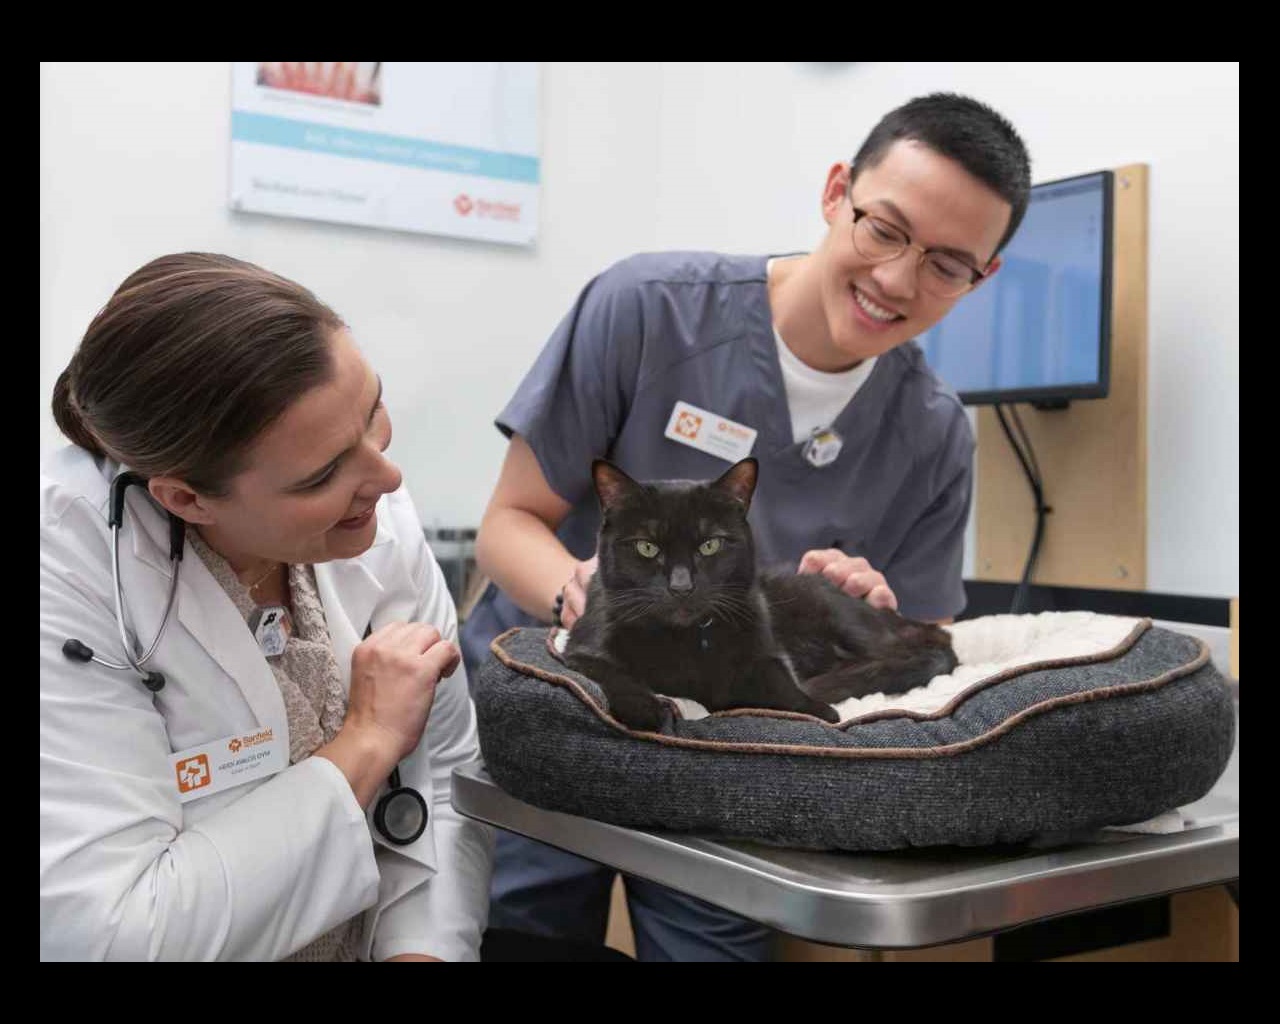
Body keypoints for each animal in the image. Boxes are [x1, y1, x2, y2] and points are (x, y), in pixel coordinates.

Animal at [563, 455, 962, 727]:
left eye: (710, 545)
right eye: (647, 547)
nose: (681, 586)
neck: (686, 639)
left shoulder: (765, 649)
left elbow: (782, 683)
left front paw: (816, 709)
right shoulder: (581, 648)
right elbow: (609, 675)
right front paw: (648, 708)